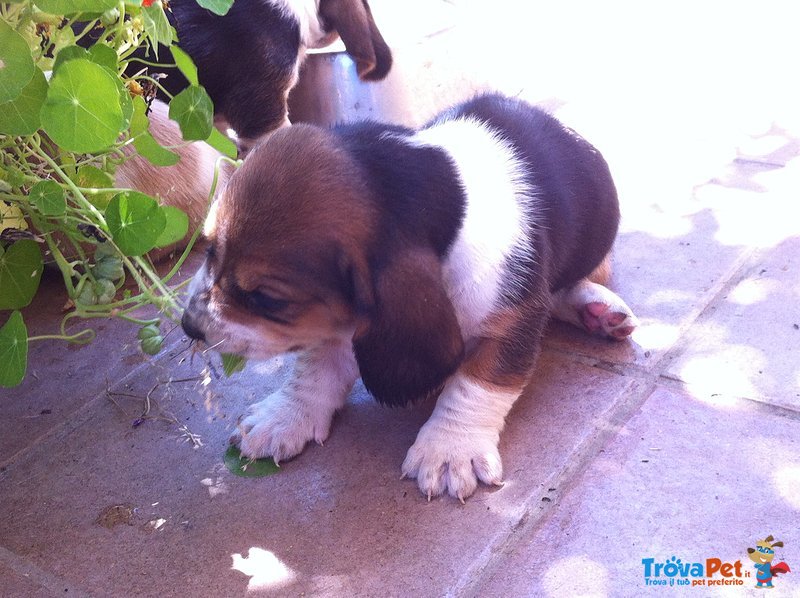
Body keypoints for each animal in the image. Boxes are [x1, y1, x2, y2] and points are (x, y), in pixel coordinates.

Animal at [181, 94, 636, 504]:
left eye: (266, 298)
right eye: (208, 250)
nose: (189, 327)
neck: (451, 202)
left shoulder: (514, 321)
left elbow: (476, 383)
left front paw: (450, 450)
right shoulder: (332, 322)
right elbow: (312, 371)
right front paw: (284, 416)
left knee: (575, 281)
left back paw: (598, 309)